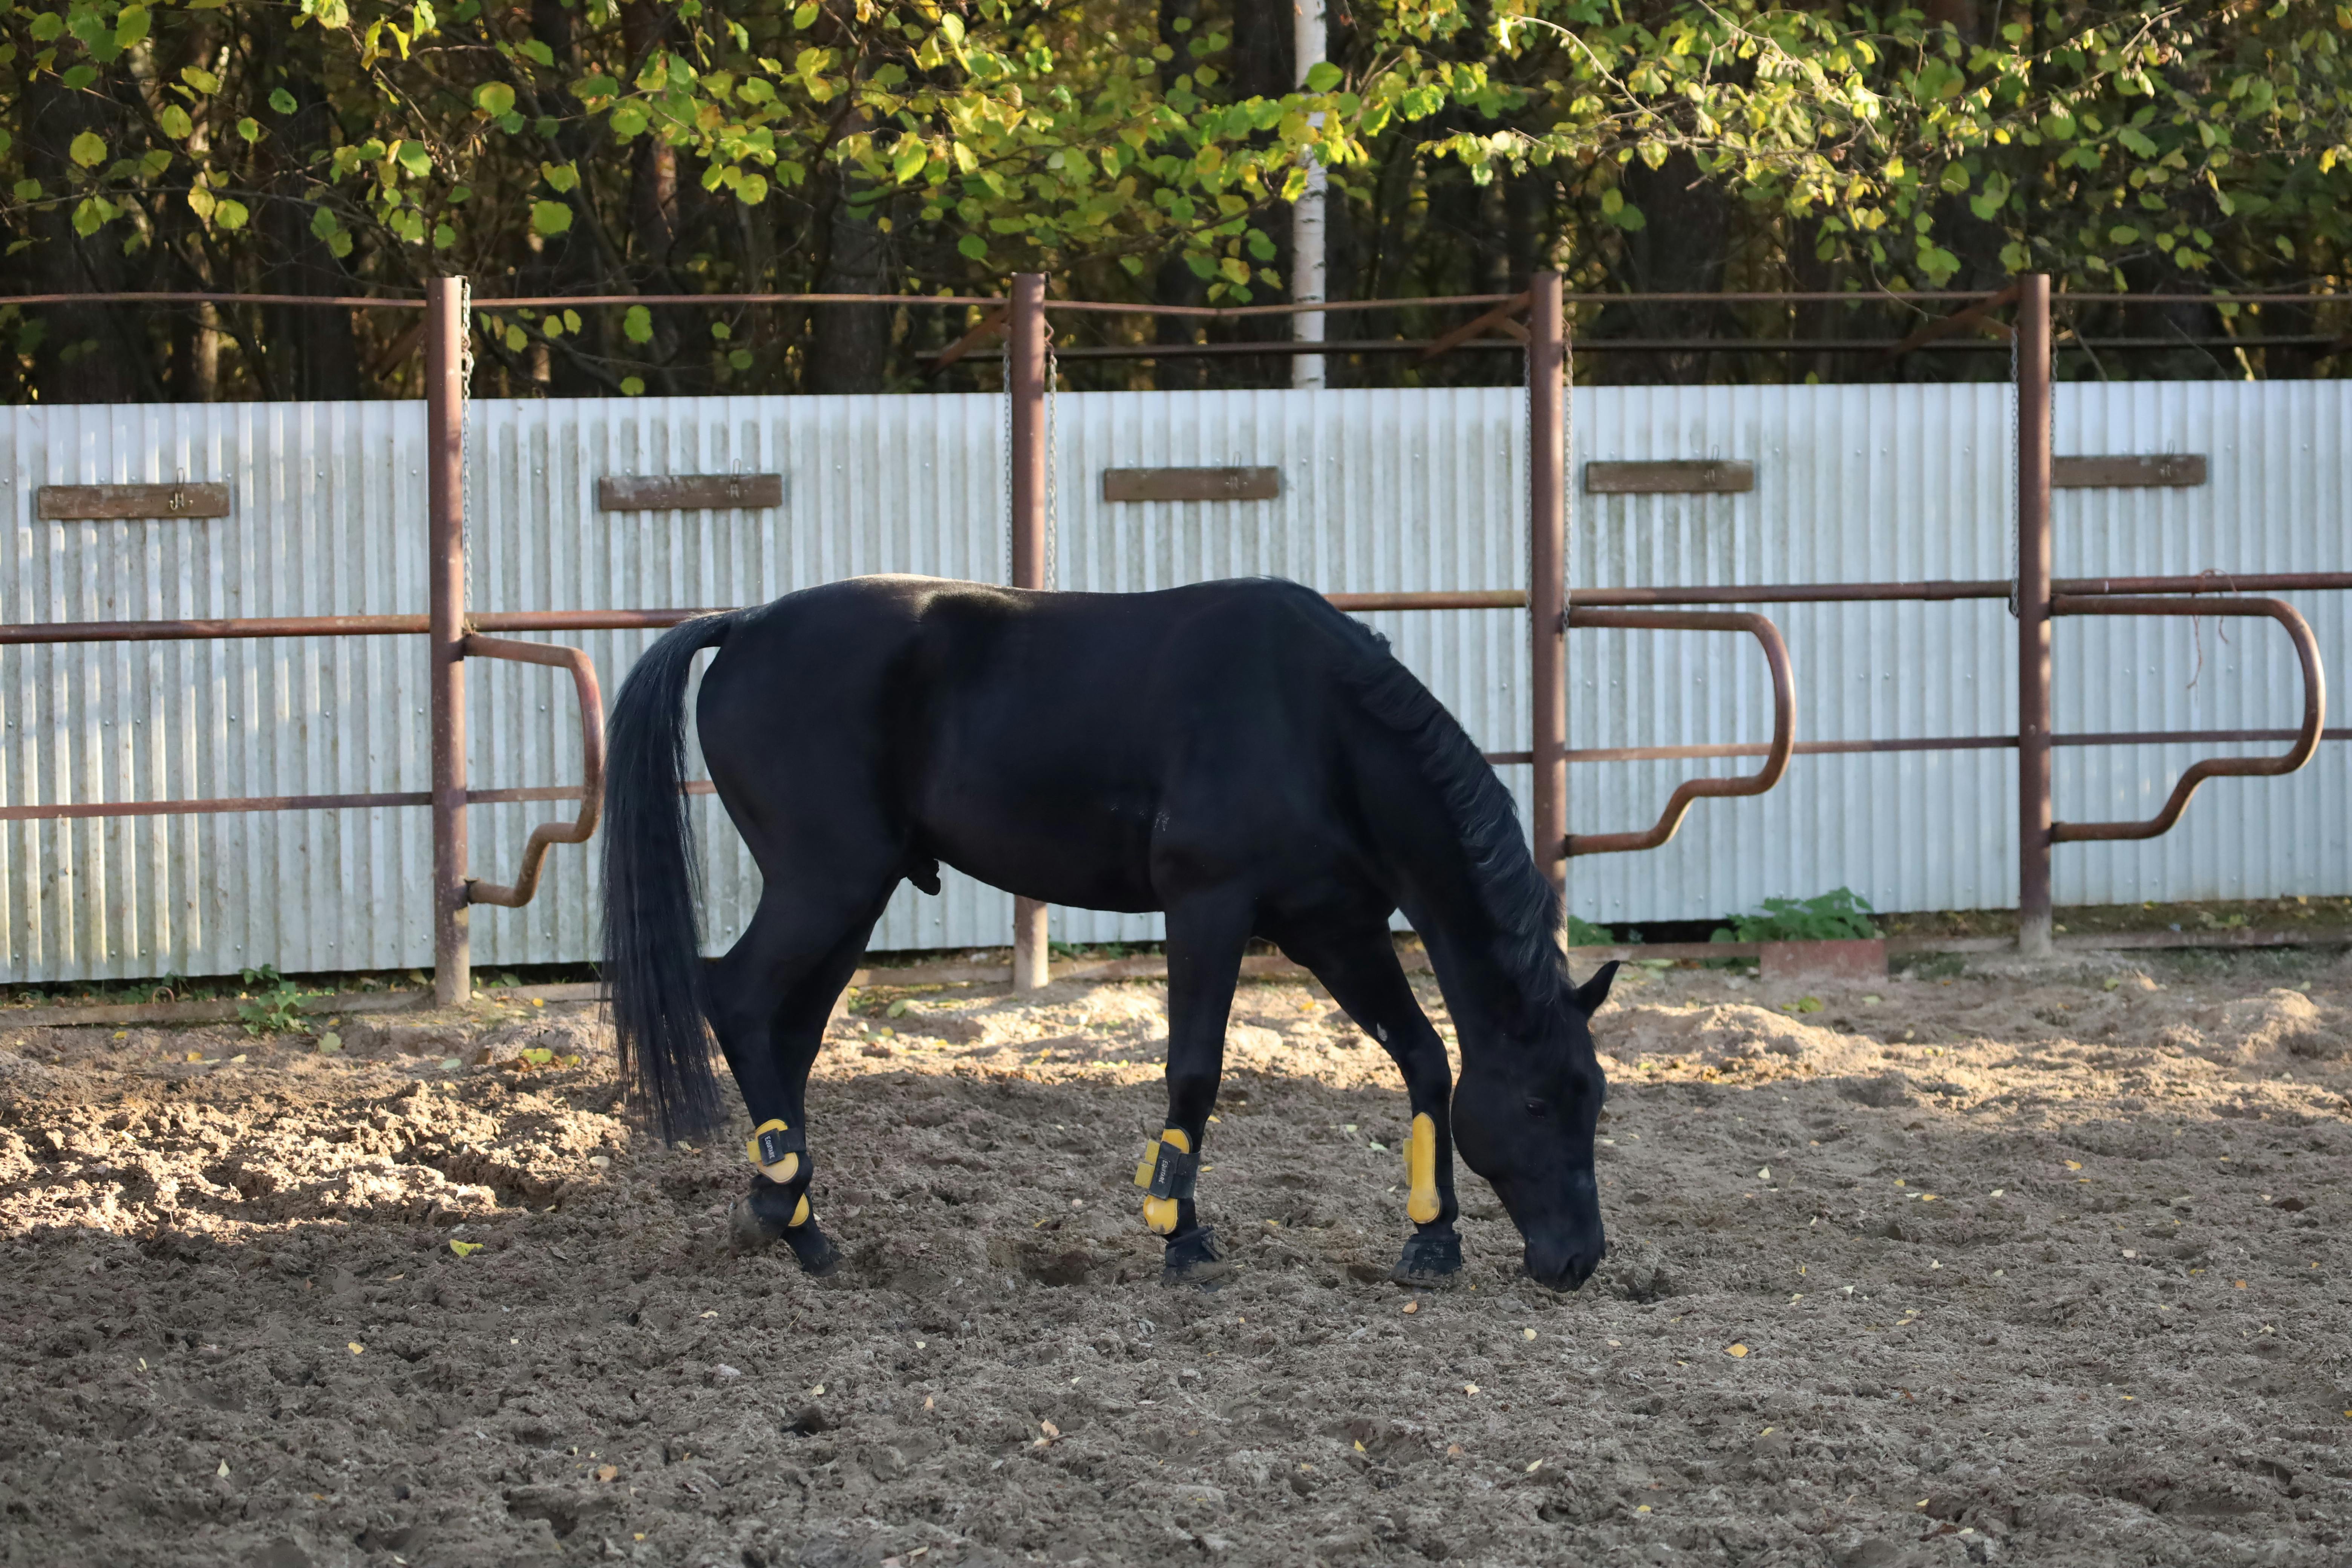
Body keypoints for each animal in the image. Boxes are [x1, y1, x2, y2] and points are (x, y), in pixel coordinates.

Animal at [599, 574, 1618, 1289]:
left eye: (1594, 1100)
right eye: (1537, 1104)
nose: (1578, 1259)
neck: (1314, 721)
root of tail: (744, 623)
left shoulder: (1336, 928)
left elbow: (1423, 1055)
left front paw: (1433, 1238)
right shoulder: (1209, 906)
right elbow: (1195, 1071)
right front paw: (1181, 1237)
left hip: (851, 898)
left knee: (788, 1035)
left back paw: (799, 1223)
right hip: (827, 885)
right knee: (737, 999)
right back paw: (783, 1207)